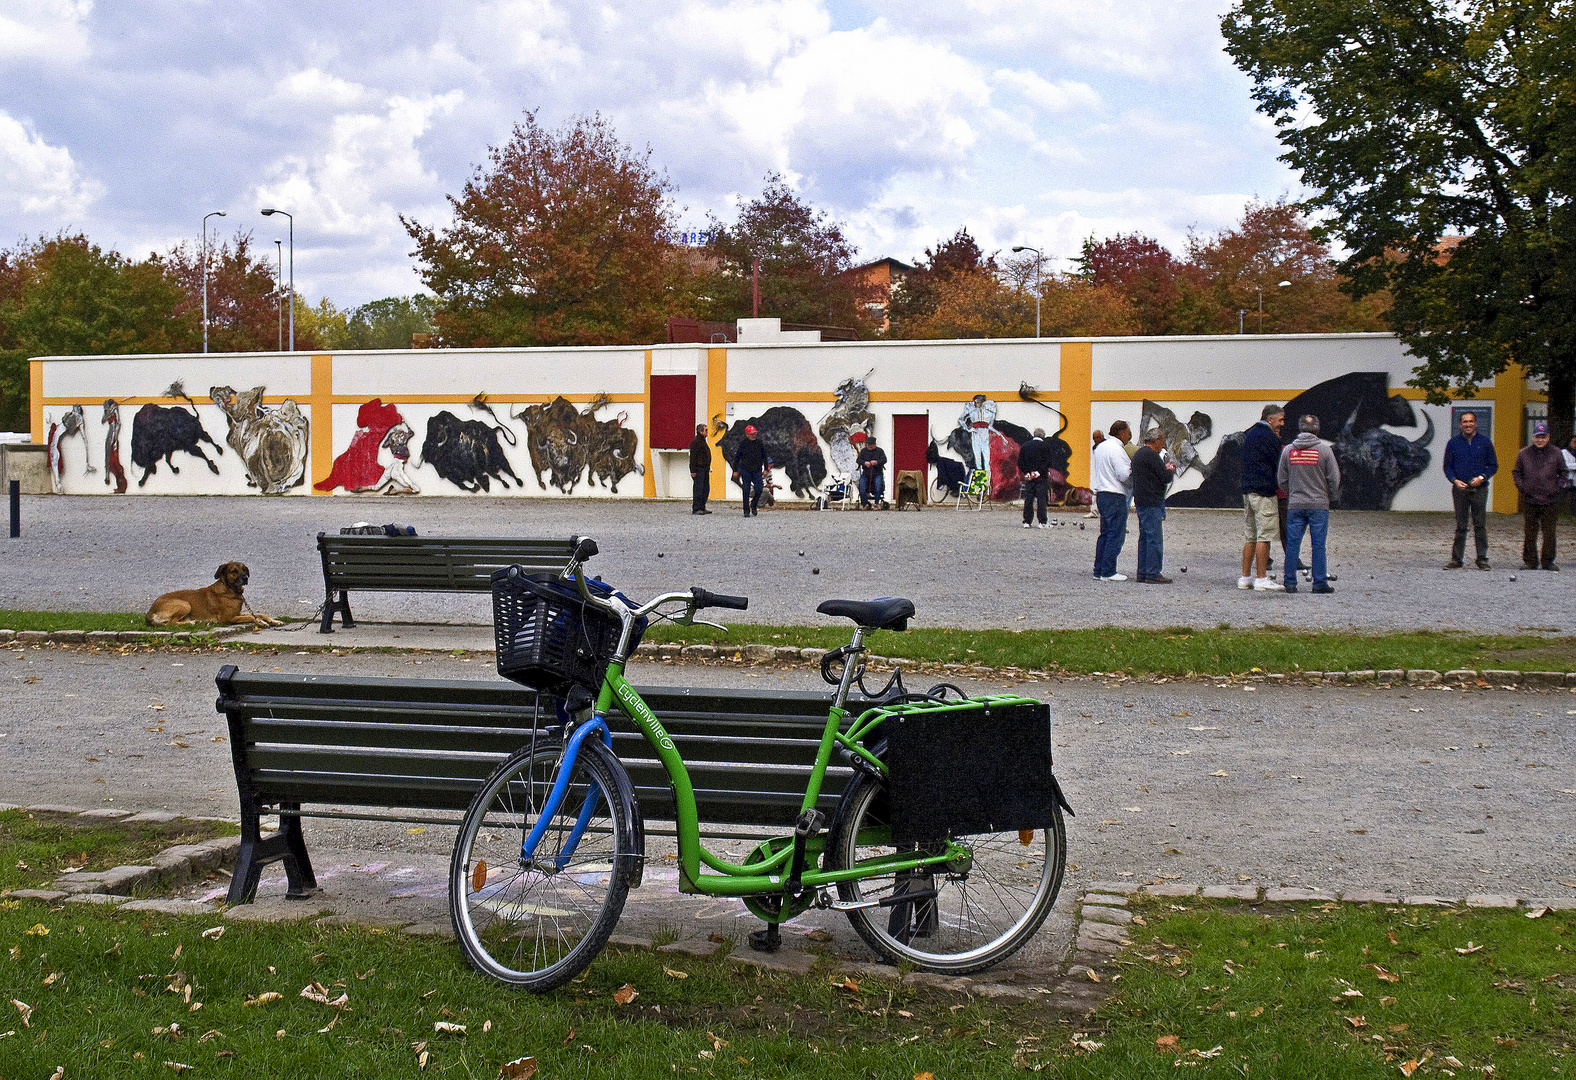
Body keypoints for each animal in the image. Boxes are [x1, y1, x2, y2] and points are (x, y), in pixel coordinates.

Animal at [145, 561, 280, 627]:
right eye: (234, 571)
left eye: (244, 569)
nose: (245, 578)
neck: (229, 589)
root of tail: (149, 613)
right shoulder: (228, 618)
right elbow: (252, 617)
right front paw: (261, 623)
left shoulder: (238, 613)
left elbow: (259, 614)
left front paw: (274, 621)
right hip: (185, 604)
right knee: (171, 623)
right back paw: (192, 622)